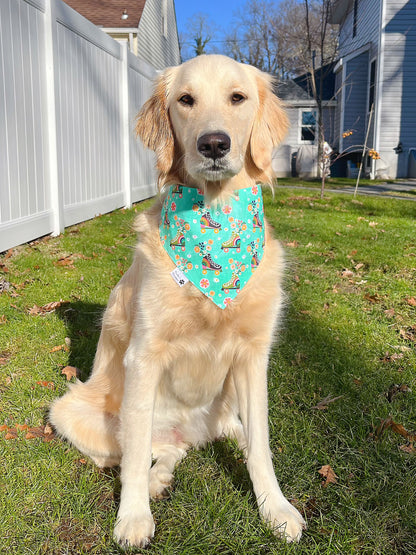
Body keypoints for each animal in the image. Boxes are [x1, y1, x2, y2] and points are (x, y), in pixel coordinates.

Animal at [51, 54, 306, 548]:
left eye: (237, 97)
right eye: (186, 100)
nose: (214, 144)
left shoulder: (253, 356)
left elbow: (261, 447)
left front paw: (275, 508)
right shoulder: (144, 356)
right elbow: (132, 458)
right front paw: (133, 516)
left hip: (225, 405)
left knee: (204, 441)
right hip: (71, 410)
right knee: (145, 450)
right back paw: (154, 481)